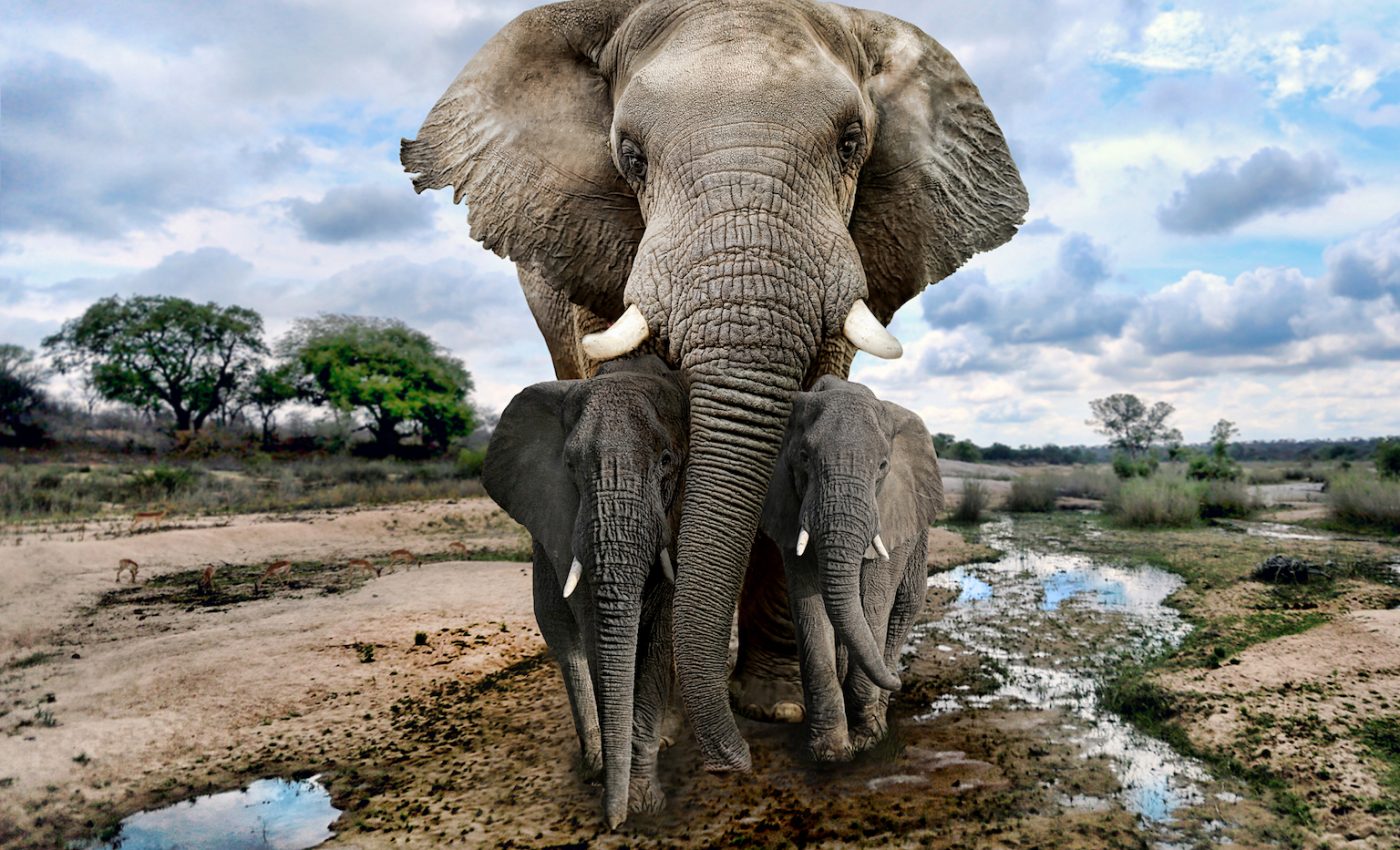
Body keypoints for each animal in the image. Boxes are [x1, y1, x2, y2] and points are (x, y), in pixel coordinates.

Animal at [482, 355, 686, 827]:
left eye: (667, 460)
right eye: (570, 466)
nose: (612, 824)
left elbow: (658, 634)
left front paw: (641, 803)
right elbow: (594, 628)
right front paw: (626, 796)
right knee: (564, 638)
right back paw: (595, 763)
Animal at [761, 376, 942, 761]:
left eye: (883, 466)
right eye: (804, 458)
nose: (900, 681)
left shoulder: (891, 511)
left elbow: (873, 601)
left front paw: (867, 739)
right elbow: (809, 605)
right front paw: (830, 752)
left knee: (904, 606)